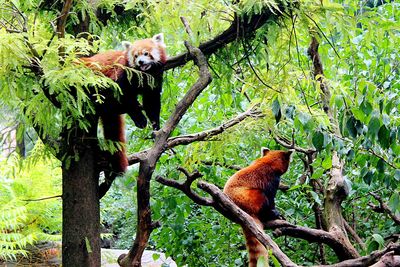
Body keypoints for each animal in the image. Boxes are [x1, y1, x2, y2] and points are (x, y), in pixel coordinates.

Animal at [79, 33, 167, 176]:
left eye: (146, 53)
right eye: (135, 56)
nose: (140, 62)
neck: (144, 74)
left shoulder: (154, 80)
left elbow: (151, 103)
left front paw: (156, 127)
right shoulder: (122, 74)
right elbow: (124, 97)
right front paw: (139, 118)